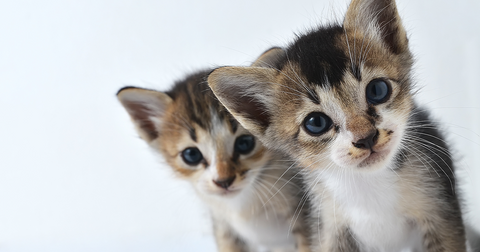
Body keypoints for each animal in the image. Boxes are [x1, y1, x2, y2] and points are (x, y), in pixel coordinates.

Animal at [208, 0, 466, 252]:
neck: (369, 186)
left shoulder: (439, 211)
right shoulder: (329, 226)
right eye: (316, 123)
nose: (366, 137)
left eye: (377, 90)